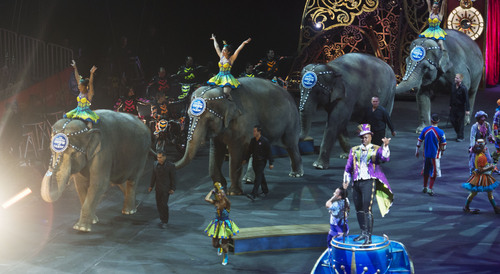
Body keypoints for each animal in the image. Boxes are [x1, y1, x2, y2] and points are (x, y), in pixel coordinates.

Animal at [174, 77, 302, 195]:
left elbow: (237, 151)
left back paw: (296, 174)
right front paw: (219, 189)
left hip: (292, 121)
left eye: (209, 120)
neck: (223, 93)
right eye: (189, 116)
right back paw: (249, 179)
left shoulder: (243, 121)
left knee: (291, 144)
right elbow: (216, 151)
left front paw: (233, 192)